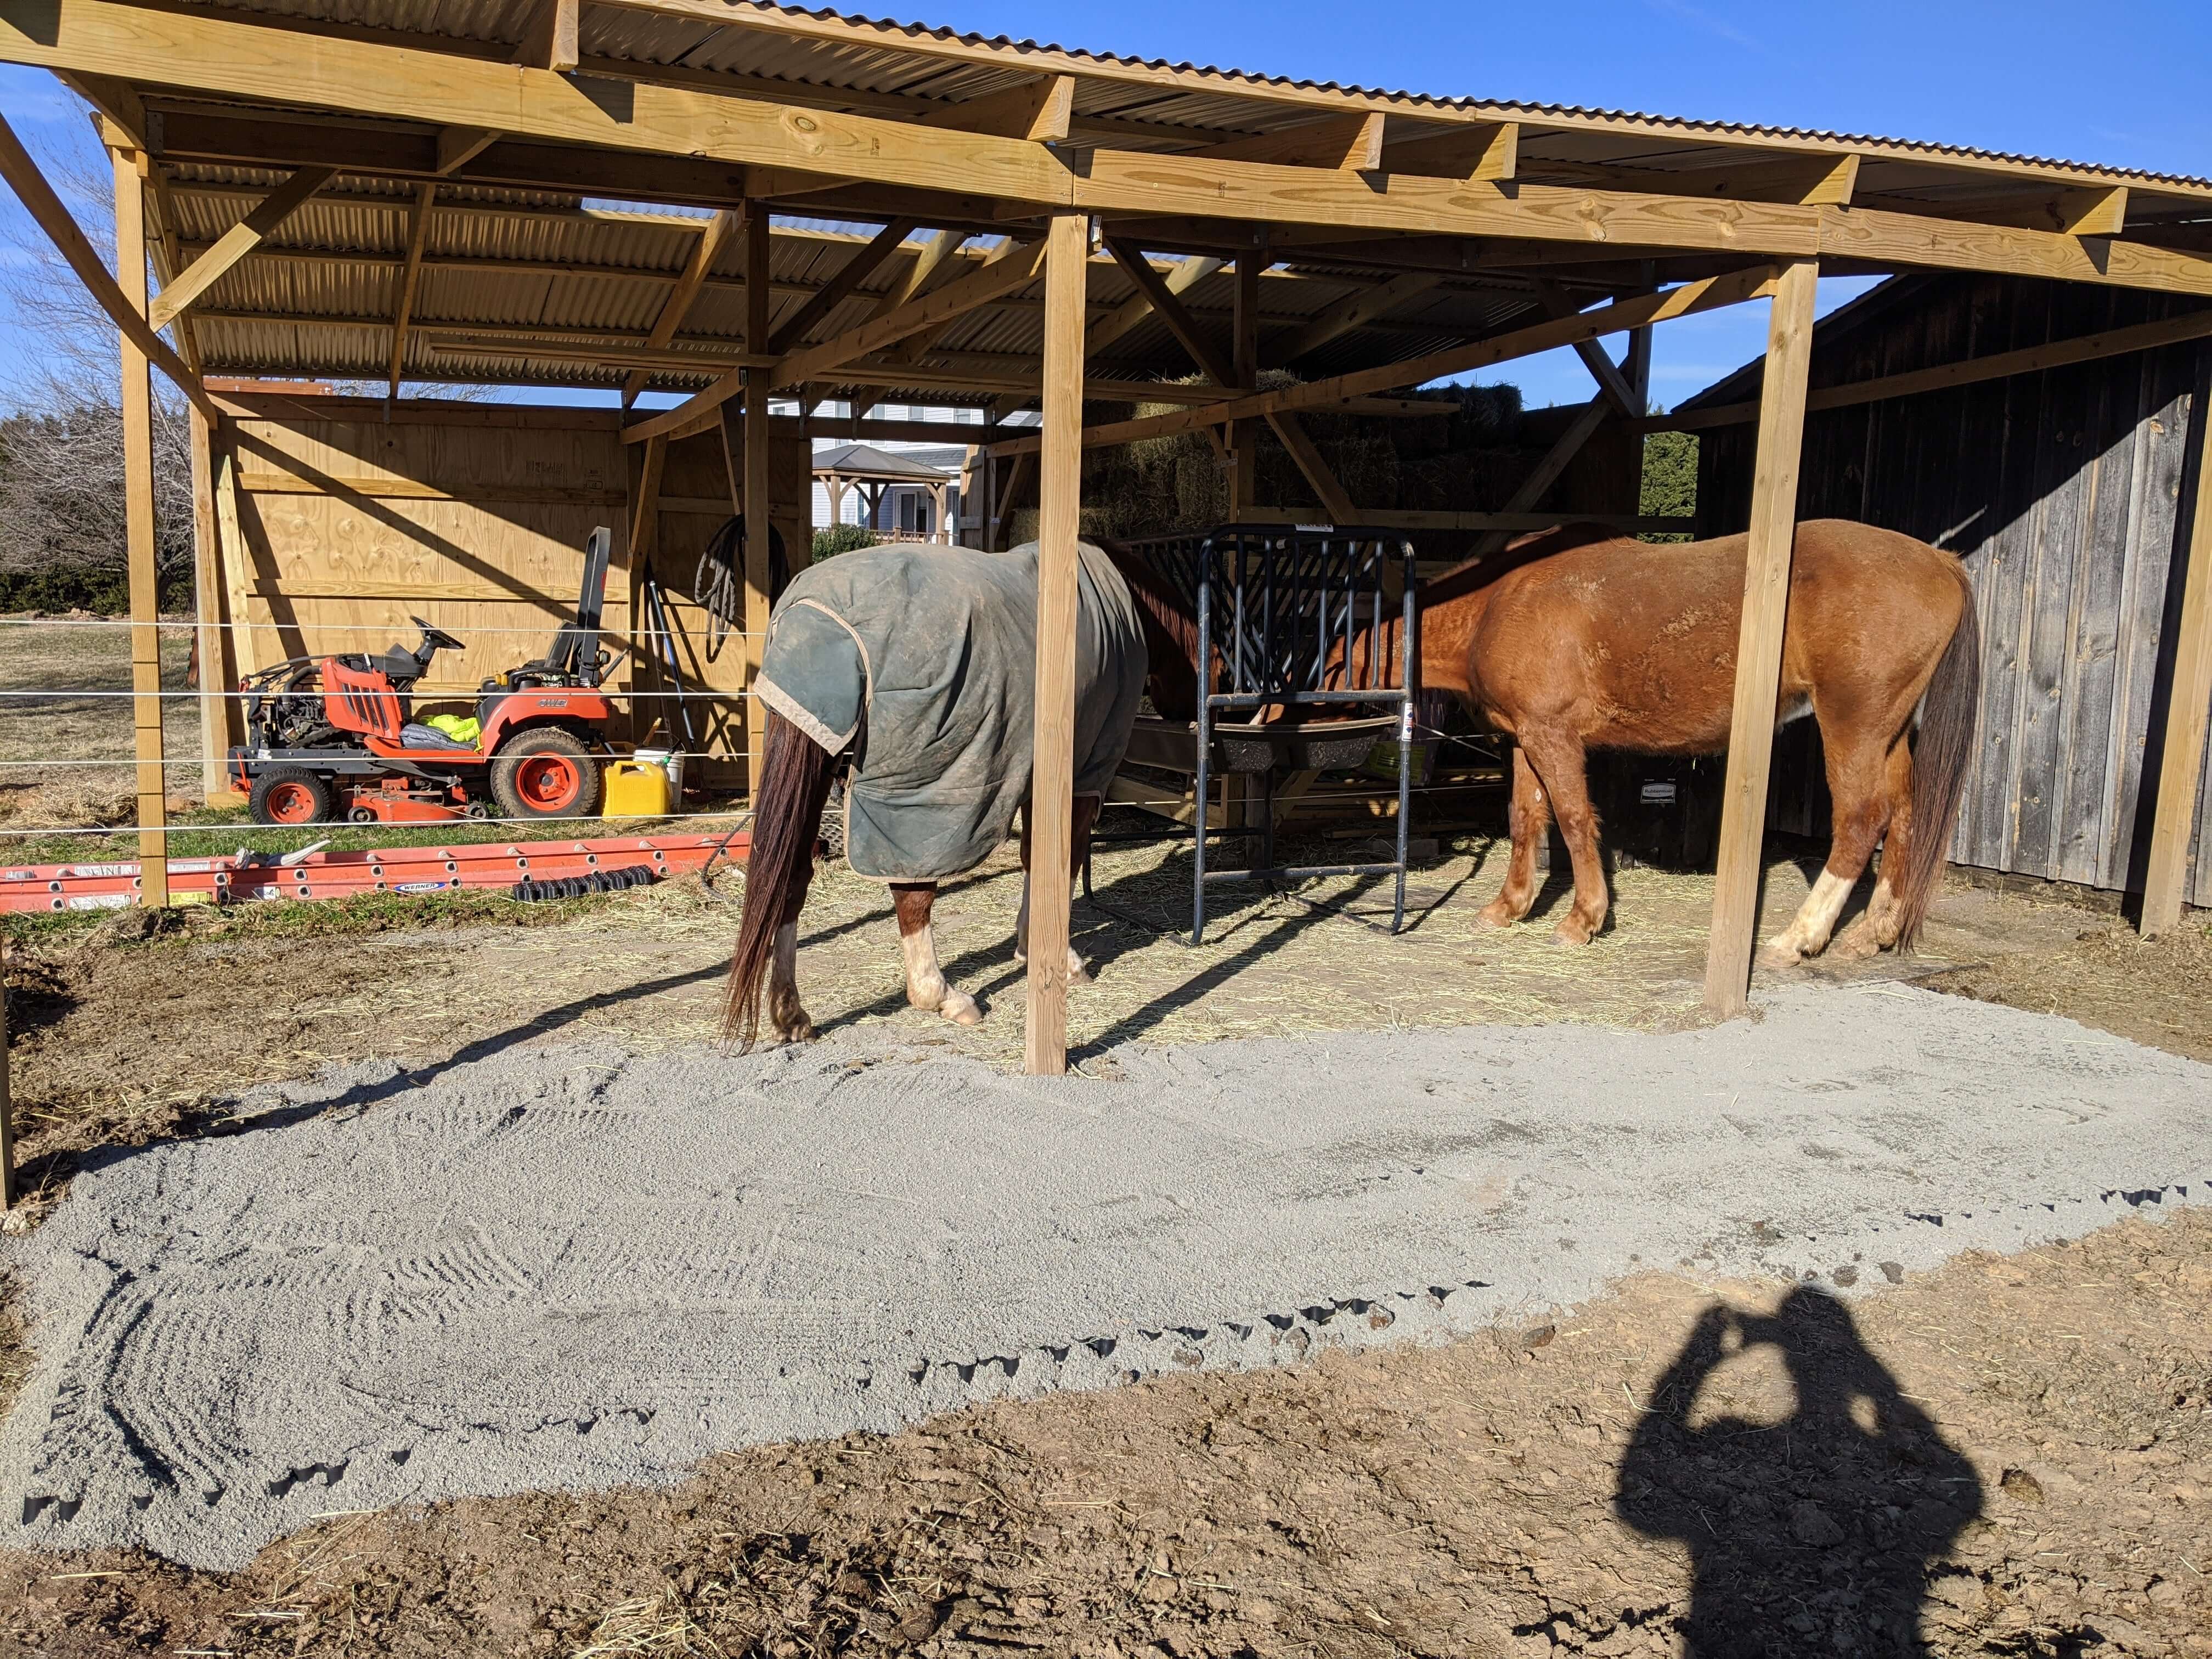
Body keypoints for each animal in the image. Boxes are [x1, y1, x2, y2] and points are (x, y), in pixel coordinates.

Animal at [723, 538, 1191, 1050]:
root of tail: (810, 612)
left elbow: (1034, 857)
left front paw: (1031, 947)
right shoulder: (1082, 774)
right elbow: (1058, 862)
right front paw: (1061, 960)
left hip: (819, 760)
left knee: (790, 881)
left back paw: (791, 1014)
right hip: (918, 795)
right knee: (911, 891)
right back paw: (942, 997)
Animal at [1342, 519, 1979, 968]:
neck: (1500, 599)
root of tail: (1941, 562)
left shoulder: (1553, 735)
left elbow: (1573, 819)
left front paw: (1583, 919)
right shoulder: (1524, 739)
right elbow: (1526, 818)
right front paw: (1508, 908)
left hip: (1853, 724)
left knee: (1860, 821)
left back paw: (1798, 938)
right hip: (1889, 731)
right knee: (1906, 816)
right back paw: (1873, 933)